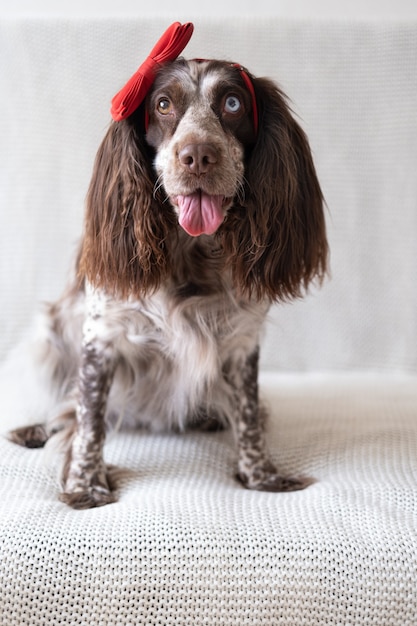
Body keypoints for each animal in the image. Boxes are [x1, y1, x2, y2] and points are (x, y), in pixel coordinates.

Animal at [6, 23, 326, 508]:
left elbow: (249, 416)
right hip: (49, 339)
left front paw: (261, 476)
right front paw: (86, 486)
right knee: (67, 410)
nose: (198, 155)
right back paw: (37, 429)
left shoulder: (242, 341)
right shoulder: (100, 337)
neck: (191, 255)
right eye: (162, 104)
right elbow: (89, 419)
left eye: (233, 103)